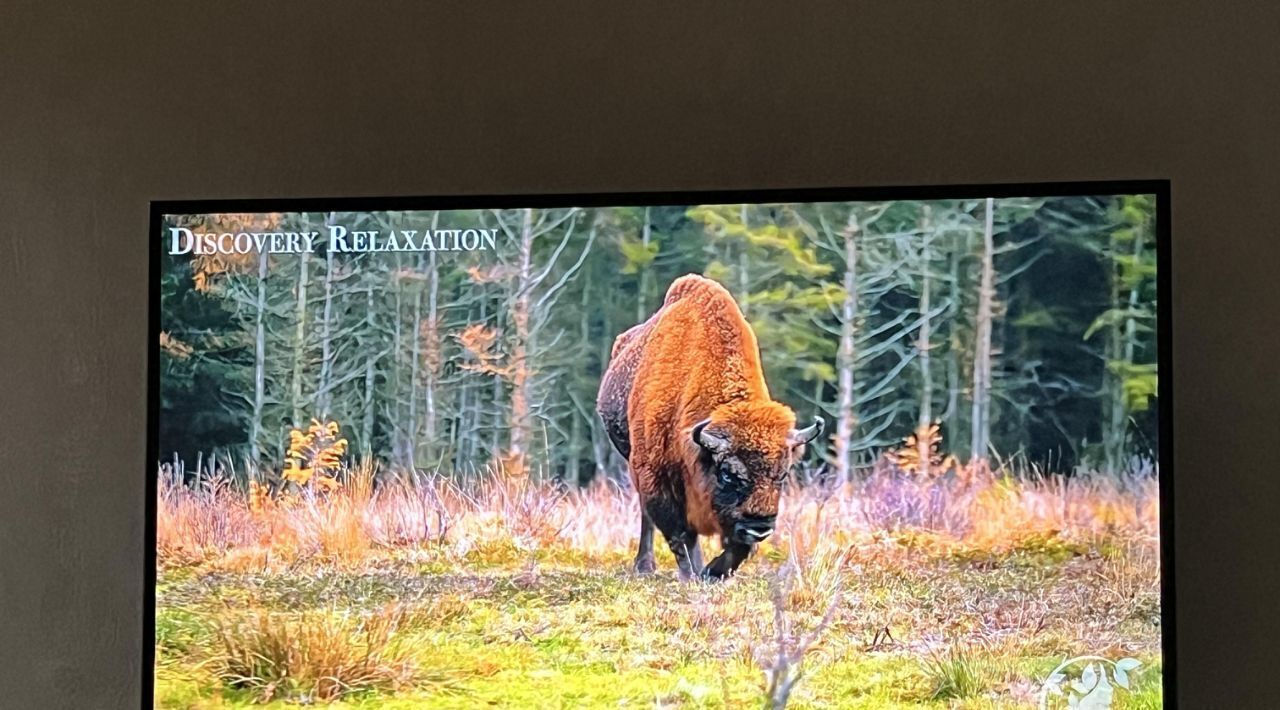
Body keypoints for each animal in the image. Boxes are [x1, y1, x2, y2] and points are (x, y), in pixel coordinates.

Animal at [596, 275, 824, 580]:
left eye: (783, 474)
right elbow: (679, 532)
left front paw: (712, 572)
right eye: (727, 474)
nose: (759, 527)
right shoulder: (654, 472)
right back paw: (645, 566)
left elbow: (734, 546)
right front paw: (691, 573)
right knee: (647, 515)